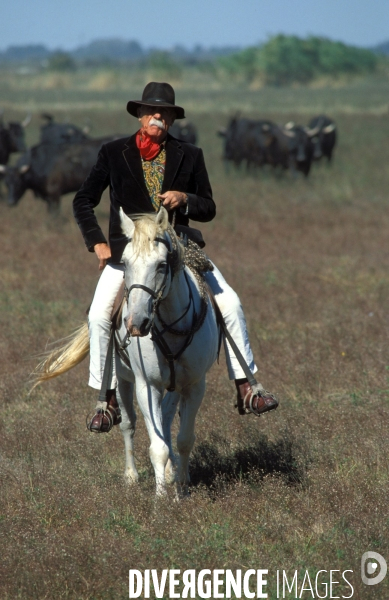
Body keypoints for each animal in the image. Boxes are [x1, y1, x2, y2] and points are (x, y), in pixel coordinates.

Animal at [33, 209, 218, 500]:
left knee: (166, 420)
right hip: (122, 379)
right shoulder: (146, 385)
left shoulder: (194, 385)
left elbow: (184, 439)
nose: (136, 323)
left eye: (162, 265)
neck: (171, 325)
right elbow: (157, 446)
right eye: (126, 263)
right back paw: (131, 476)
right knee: (128, 424)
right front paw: (161, 498)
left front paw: (182, 488)